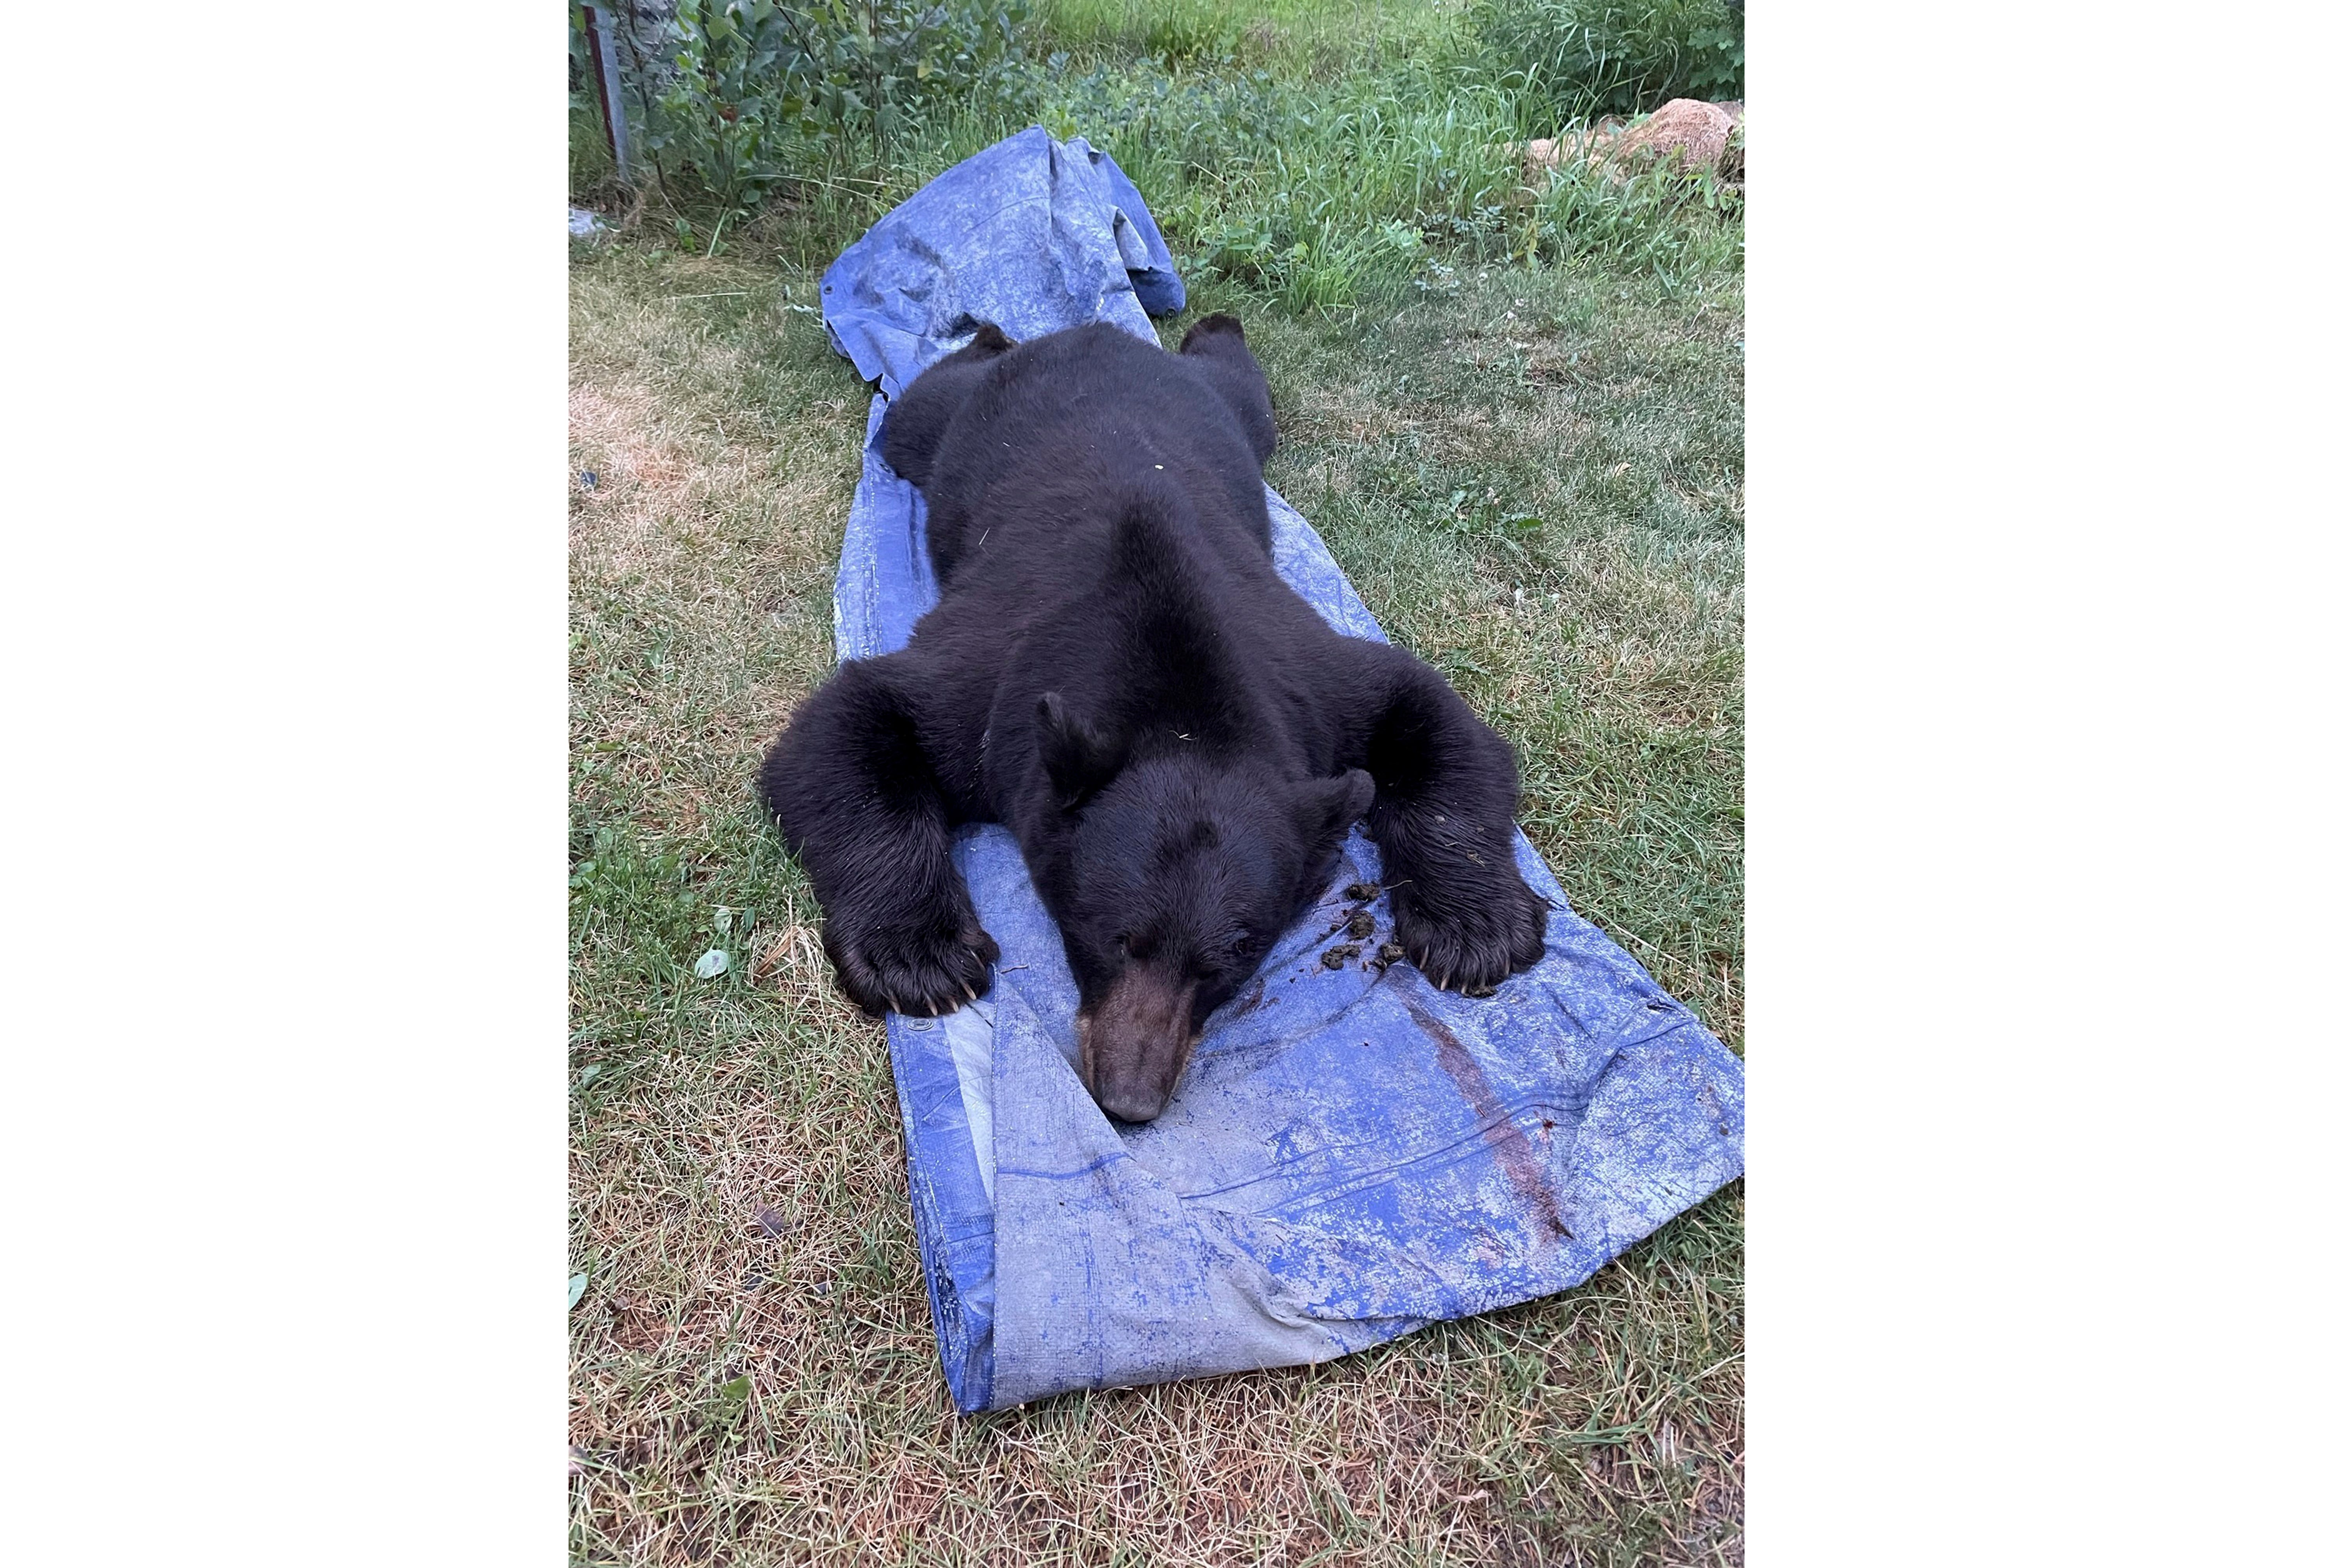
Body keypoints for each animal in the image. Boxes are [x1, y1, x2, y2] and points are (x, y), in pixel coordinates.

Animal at [758, 314, 1548, 1124]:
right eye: (1111, 936)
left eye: (1231, 958)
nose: (1129, 1101)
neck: (1177, 690)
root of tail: (1092, 332)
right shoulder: (998, 685)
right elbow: (850, 722)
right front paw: (923, 956)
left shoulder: (1307, 683)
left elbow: (1427, 710)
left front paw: (1473, 929)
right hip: (947, 427)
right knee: (914, 407)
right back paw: (988, 337)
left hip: (1230, 413)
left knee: (1241, 382)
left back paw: (1212, 325)